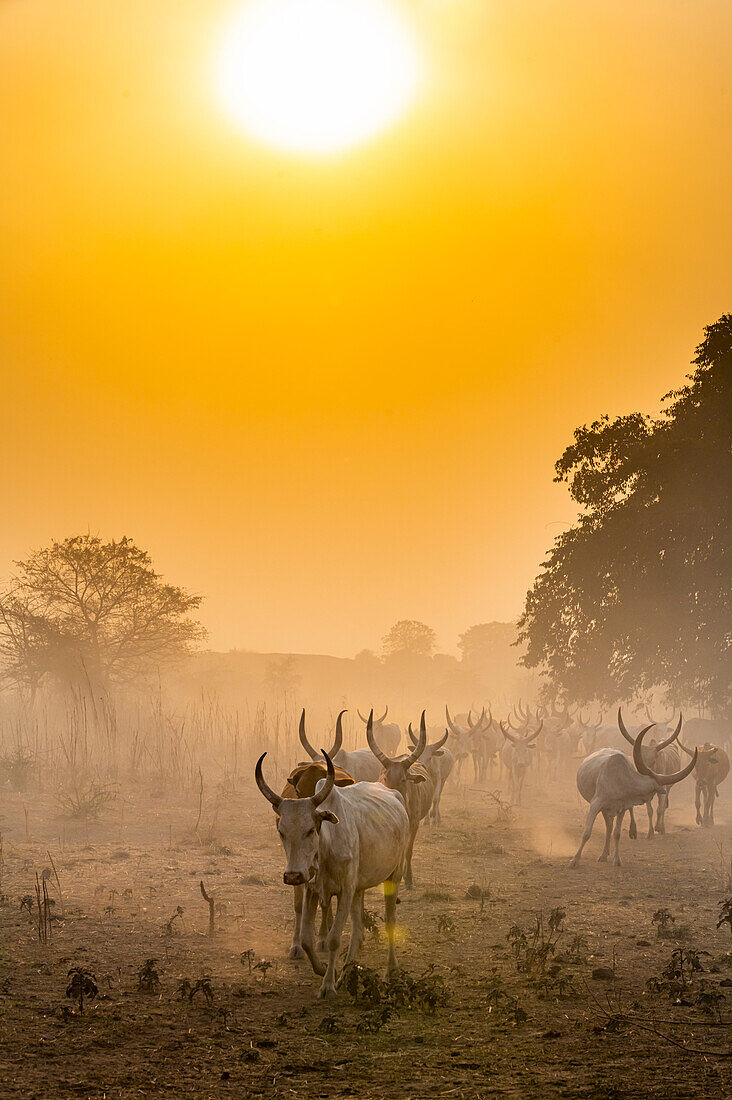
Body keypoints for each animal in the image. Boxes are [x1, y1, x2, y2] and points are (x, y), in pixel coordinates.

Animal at [254, 748, 407, 998]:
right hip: (358, 888)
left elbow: (334, 939)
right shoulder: (314, 889)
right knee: (357, 928)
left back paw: (391, 970)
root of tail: (394, 794)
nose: (293, 876)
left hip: (394, 875)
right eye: (281, 831)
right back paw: (346, 971)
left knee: (390, 921)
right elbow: (307, 939)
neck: (325, 849)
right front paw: (325, 969)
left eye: (310, 830)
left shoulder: (345, 890)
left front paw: (327, 985)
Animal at [563, 721, 695, 866]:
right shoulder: (595, 804)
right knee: (608, 826)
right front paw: (574, 860)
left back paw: (607, 852)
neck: (621, 780)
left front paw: (617, 859)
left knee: (609, 827)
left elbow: (617, 833)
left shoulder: (622, 808)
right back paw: (604, 853)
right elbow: (587, 832)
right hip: (603, 807)